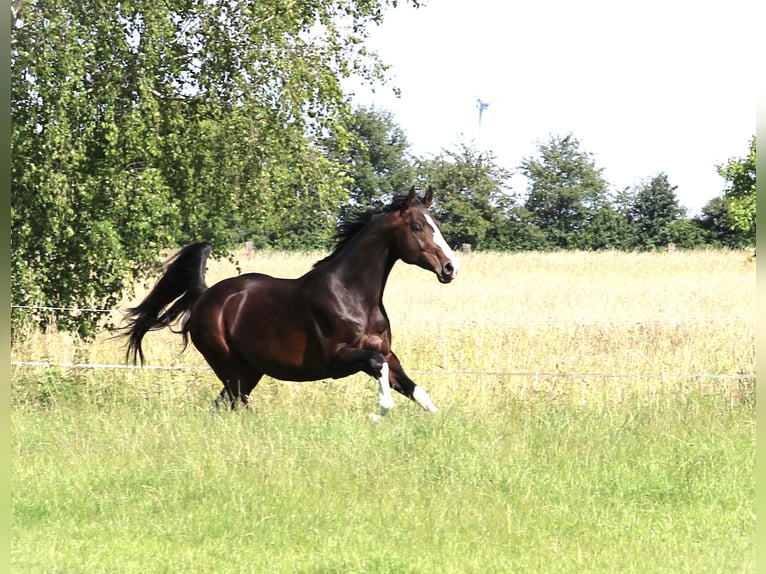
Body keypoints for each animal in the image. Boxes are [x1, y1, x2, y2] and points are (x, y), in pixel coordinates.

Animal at [123, 189, 462, 418]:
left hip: (249, 370)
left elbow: (414, 389)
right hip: (230, 367)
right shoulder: (338, 357)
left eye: (437, 224)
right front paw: (381, 409)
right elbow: (378, 367)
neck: (353, 296)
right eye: (417, 227)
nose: (450, 268)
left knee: (226, 404)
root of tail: (206, 295)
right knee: (233, 403)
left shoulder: (387, 353)